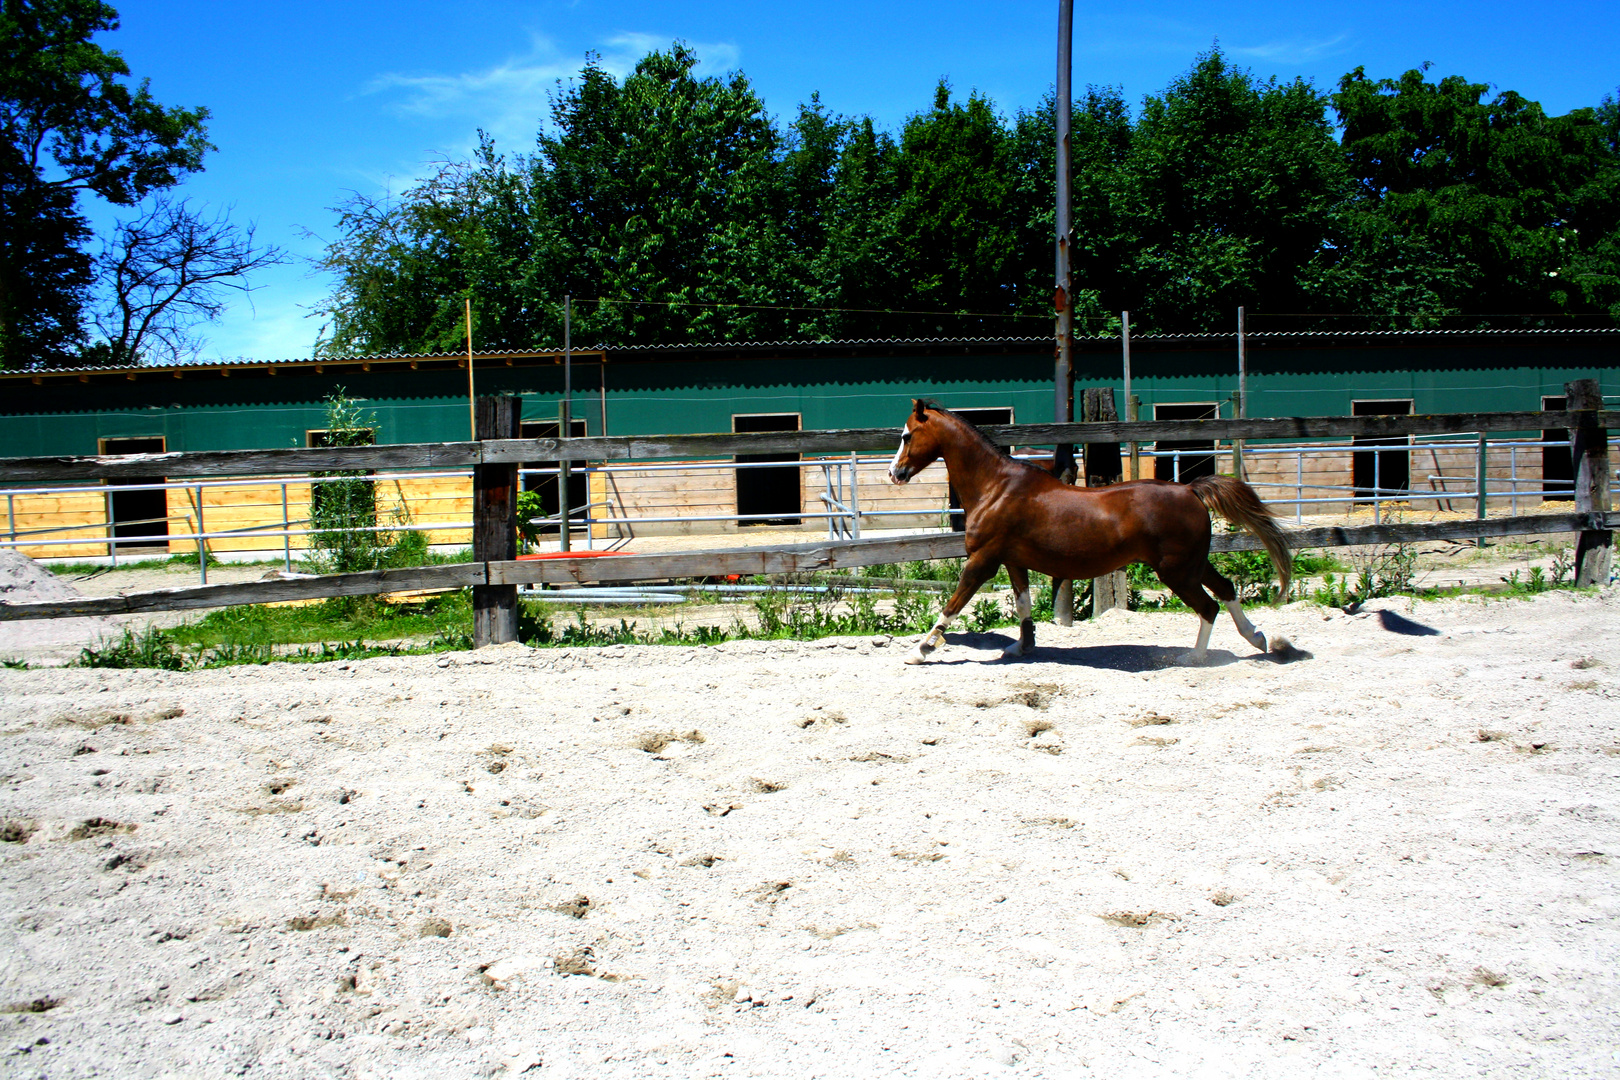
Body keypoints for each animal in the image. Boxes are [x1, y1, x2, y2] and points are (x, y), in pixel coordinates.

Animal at [887, 399, 1289, 663]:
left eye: (907, 435)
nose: (894, 474)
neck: (995, 488)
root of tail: (1190, 489)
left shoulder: (982, 560)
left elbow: (953, 604)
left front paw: (921, 649)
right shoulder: (1012, 560)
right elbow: (1023, 603)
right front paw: (1022, 646)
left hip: (1176, 570)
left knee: (1209, 606)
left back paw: (1195, 658)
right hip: (1193, 564)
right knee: (1226, 590)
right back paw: (1257, 638)